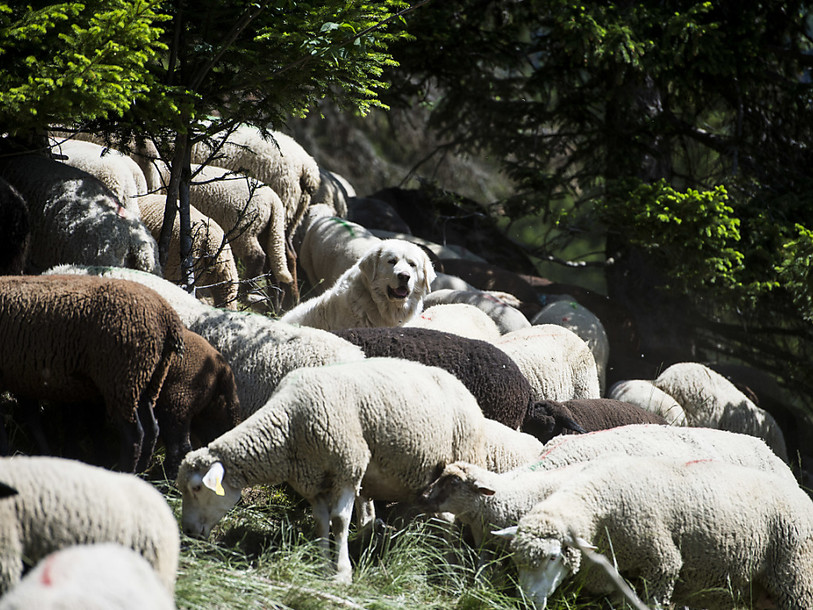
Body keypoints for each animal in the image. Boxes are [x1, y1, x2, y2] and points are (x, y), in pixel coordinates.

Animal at [0, 274, 185, 472]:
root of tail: (167, 317)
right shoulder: (22, 376)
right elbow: (32, 419)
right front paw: (44, 453)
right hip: (147, 379)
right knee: (152, 430)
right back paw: (140, 472)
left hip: (122, 379)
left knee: (134, 434)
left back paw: (124, 471)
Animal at [175, 357, 493, 583]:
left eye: (197, 487)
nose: (187, 531)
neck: (290, 425)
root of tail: (461, 387)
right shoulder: (312, 479)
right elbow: (321, 521)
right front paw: (320, 563)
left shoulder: (348, 467)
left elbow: (339, 521)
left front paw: (341, 573)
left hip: (463, 461)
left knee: (454, 519)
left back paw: (446, 563)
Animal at [494, 455, 813, 610]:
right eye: (517, 560)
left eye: (552, 557)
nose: (526, 601)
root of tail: (802, 493)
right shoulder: (612, 581)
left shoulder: (662, 564)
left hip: (797, 579)